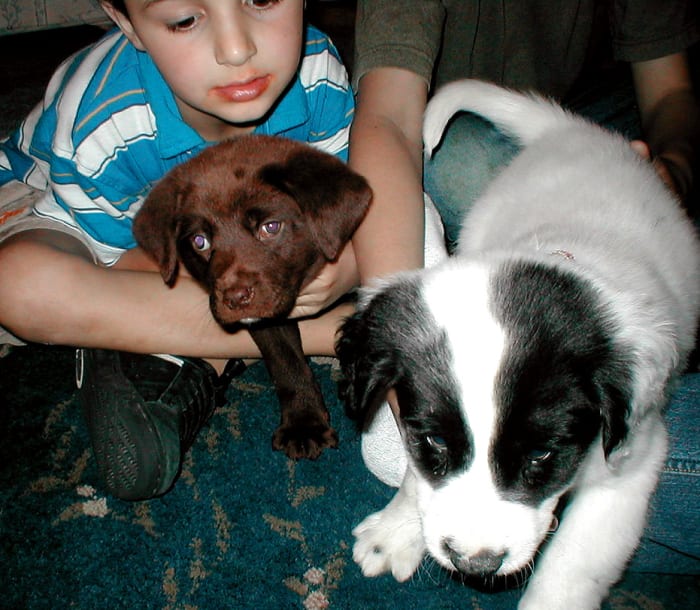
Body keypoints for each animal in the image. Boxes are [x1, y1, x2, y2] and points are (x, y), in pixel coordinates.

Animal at [338, 78, 700, 604]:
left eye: (540, 456)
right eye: (434, 441)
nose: (475, 564)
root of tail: (575, 131)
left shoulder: (631, 466)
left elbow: (570, 570)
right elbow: (416, 478)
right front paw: (394, 533)